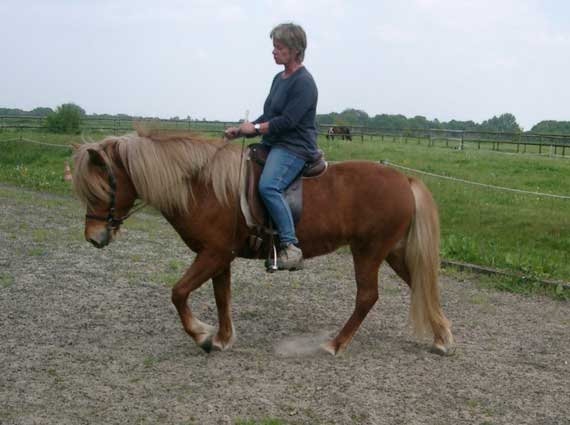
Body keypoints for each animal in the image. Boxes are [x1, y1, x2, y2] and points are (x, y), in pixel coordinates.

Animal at [71, 127, 452, 356]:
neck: (203, 186)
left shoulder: (212, 254)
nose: (93, 238)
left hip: (369, 251)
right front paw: (222, 338)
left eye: (102, 189)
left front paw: (202, 336)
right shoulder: (219, 257)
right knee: (420, 285)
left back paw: (336, 343)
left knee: (367, 297)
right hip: (393, 252)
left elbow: (178, 293)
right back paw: (442, 338)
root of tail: (404, 179)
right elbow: (221, 297)